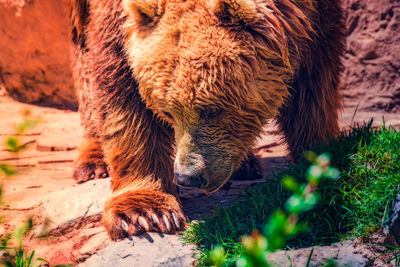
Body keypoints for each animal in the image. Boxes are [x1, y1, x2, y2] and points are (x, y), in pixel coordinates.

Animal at [67, 0, 346, 241]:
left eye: (213, 109)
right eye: (168, 111)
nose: (187, 176)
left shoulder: (316, 14)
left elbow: (315, 78)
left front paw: (319, 158)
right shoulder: (114, 18)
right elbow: (121, 83)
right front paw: (145, 214)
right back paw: (93, 161)